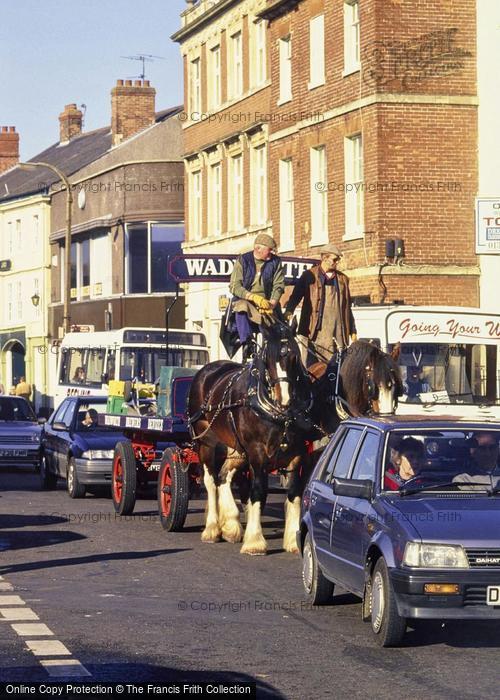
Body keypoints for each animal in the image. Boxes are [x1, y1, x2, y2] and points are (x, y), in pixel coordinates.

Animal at [188, 314, 312, 556]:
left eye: (294, 355)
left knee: (223, 477)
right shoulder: (257, 452)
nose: (285, 399)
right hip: (206, 441)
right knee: (210, 480)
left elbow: (294, 492)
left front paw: (293, 541)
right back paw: (212, 528)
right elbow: (258, 491)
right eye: (268, 358)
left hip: (236, 448)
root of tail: (208, 369)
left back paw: (230, 526)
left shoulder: (297, 451)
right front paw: (254, 542)